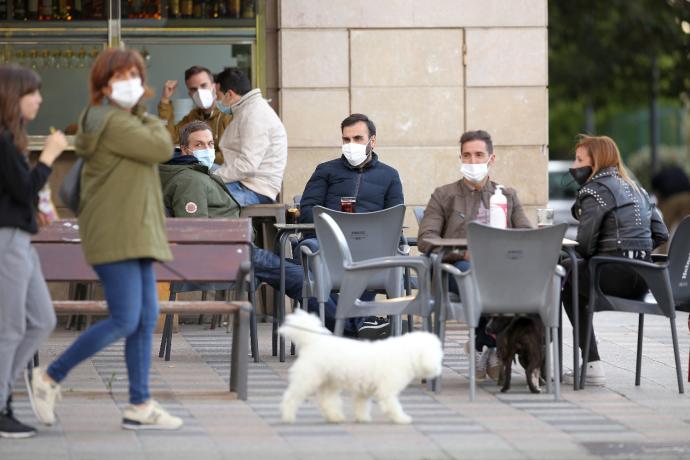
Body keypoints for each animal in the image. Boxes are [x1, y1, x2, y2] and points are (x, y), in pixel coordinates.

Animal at [278, 310, 444, 424]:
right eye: (436, 353)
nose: (438, 370)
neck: (405, 353)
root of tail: (314, 341)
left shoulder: (364, 390)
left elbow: (361, 404)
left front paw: (362, 418)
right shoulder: (387, 390)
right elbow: (393, 406)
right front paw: (401, 418)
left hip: (330, 382)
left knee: (326, 400)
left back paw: (334, 417)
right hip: (308, 379)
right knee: (291, 397)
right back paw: (288, 416)